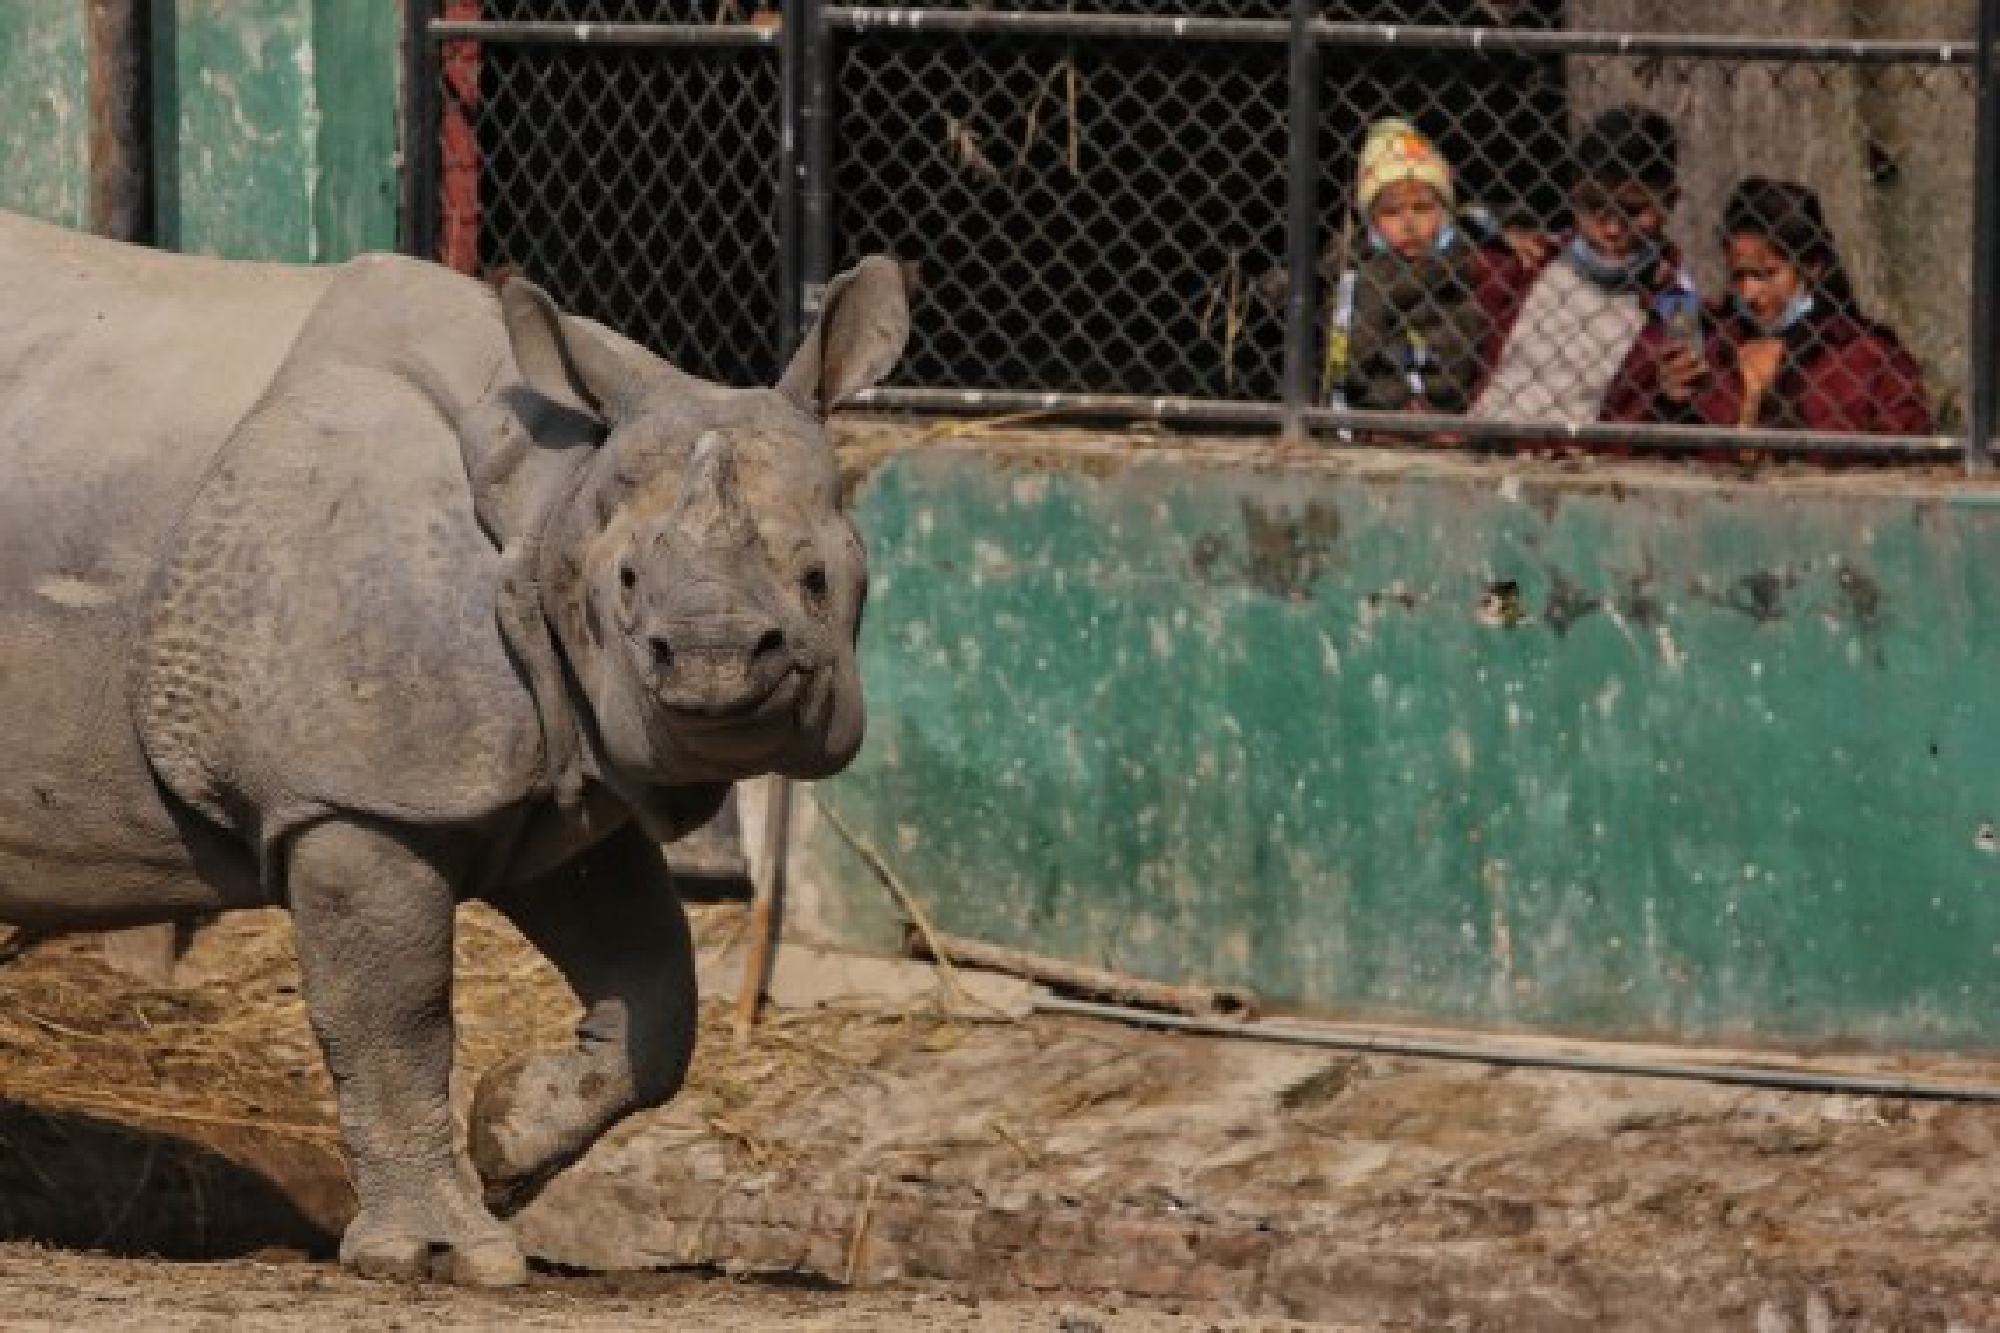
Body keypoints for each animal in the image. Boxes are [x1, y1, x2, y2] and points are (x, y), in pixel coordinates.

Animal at [0, 210, 907, 1285]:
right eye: (627, 582)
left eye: (816, 578)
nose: (711, 661)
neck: (553, 500)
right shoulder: (359, 793)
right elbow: (395, 1015)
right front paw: (443, 1253)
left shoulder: (555, 771)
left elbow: (658, 987)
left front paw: (509, 1141)